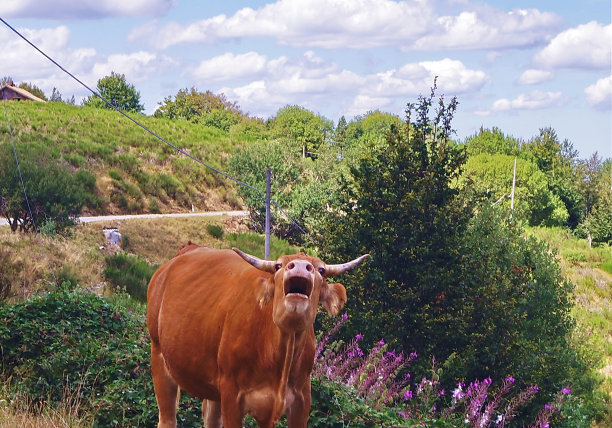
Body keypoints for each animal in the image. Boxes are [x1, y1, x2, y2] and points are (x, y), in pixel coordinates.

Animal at [148, 244, 368, 428]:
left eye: (321, 270)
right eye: (279, 265)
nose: (299, 266)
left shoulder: (300, 399)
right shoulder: (231, 394)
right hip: (158, 353)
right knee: (167, 418)